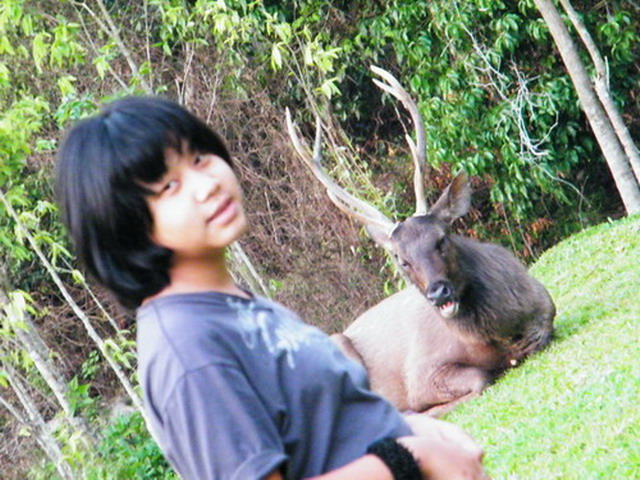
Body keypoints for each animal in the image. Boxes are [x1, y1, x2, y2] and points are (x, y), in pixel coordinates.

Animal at [286, 66, 556, 416]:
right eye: (401, 260)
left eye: (441, 239)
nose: (438, 293)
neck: (499, 335)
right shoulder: (420, 373)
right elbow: (479, 379)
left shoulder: (546, 306)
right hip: (335, 344)